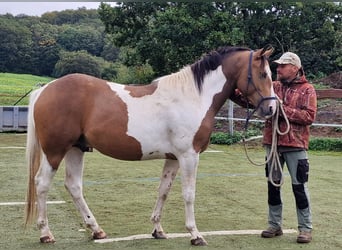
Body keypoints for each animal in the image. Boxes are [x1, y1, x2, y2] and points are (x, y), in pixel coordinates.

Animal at [24, 45, 276, 246]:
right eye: (263, 74)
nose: (272, 109)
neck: (192, 97)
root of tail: (44, 89)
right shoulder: (189, 156)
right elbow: (189, 194)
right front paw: (195, 234)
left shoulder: (173, 158)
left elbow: (163, 190)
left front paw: (157, 229)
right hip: (55, 151)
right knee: (42, 184)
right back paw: (46, 233)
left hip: (76, 149)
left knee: (74, 186)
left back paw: (96, 231)